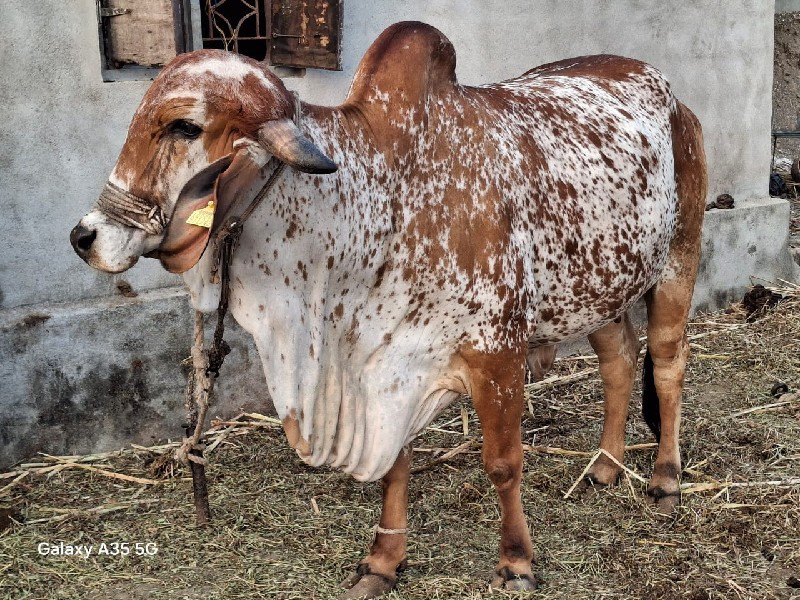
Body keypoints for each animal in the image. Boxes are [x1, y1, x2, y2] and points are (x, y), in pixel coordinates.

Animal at [70, 21, 708, 596]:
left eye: (185, 126)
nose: (85, 236)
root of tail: (670, 94)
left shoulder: (497, 351)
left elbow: (503, 462)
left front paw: (516, 563)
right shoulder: (385, 363)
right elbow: (395, 465)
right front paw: (382, 563)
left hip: (677, 261)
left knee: (667, 365)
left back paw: (664, 481)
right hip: (599, 289)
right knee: (619, 363)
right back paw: (604, 467)